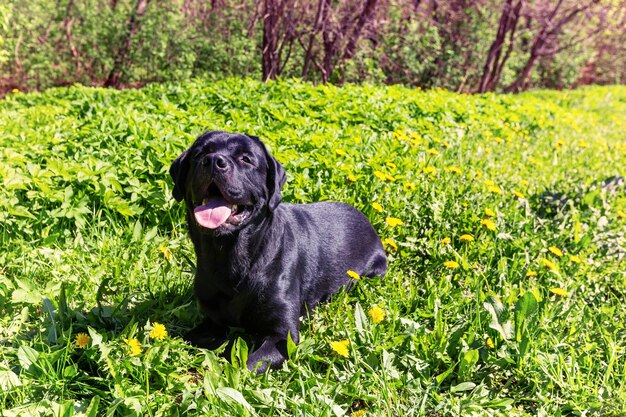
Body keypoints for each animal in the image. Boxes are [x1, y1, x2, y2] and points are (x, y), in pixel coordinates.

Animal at [171, 131, 386, 370]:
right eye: (199, 154)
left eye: (246, 159)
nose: (213, 161)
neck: (230, 256)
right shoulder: (211, 322)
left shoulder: (282, 336)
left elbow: (245, 366)